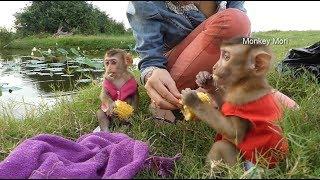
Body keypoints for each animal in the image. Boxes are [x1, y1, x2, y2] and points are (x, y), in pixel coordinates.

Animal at [181, 37, 296, 170]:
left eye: (226, 57)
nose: (214, 67)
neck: (245, 82)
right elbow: (224, 106)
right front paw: (206, 81)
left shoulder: (240, 97)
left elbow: (234, 133)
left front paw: (192, 100)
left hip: (249, 168)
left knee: (222, 146)